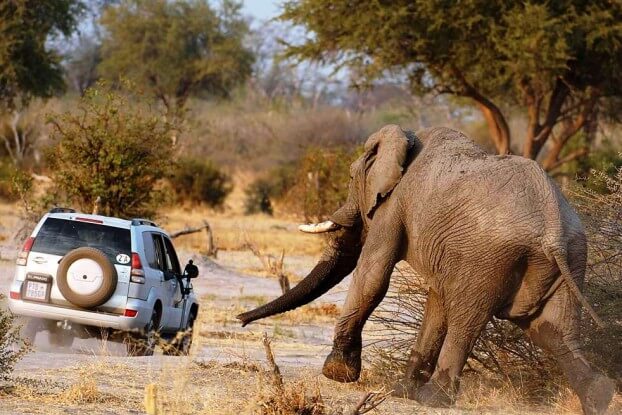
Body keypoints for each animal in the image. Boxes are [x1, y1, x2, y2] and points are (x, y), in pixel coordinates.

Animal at [236, 125, 616, 414]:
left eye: (350, 176)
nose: (240, 319)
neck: (406, 137)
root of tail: (552, 228)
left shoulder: (393, 205)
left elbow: (373, 275)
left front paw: (338, 373)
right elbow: (436, 298)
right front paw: (400, 391)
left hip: (490, 257)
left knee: (468, 319)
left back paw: (435, 398)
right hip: (569, 257)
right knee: (551, 330)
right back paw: (601, 398)